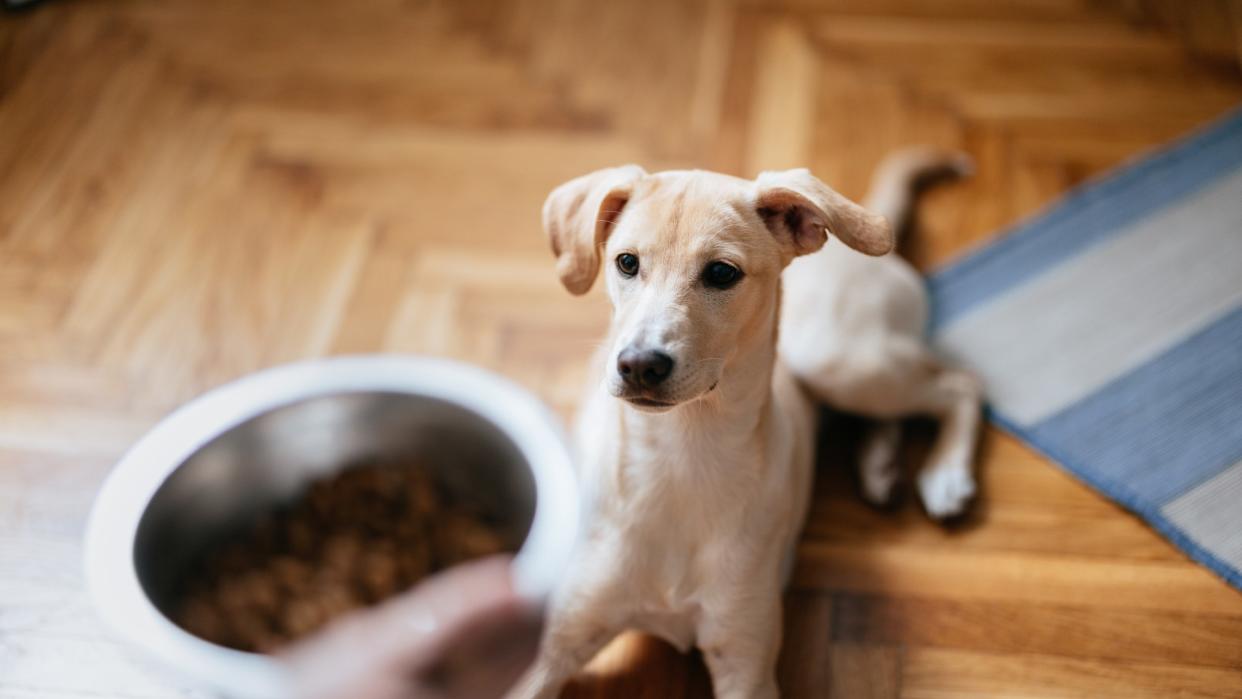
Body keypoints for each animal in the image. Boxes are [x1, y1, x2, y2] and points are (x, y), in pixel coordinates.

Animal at [511, 150, 978, 695]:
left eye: (721, 273)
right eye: (627, 262)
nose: (639, 365)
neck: (681, 458)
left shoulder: (745, 662)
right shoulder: (546, 652)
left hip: (836, 360)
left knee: (959, 384)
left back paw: (945, 475)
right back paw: (881, 465)